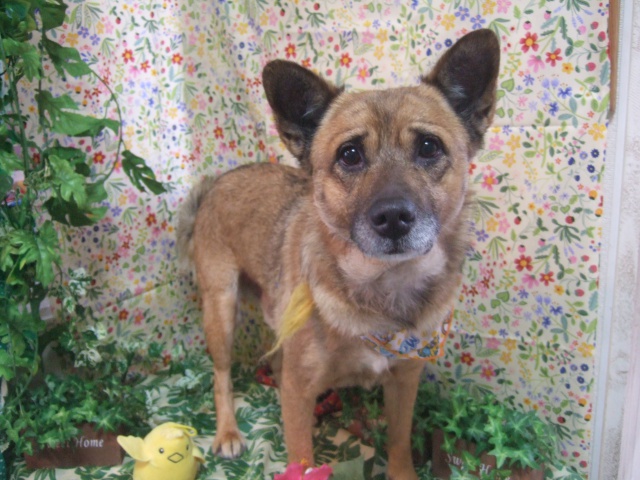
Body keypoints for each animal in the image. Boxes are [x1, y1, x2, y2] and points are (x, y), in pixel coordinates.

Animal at [177, 29, 500, 479]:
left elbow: (399, 444)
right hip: (221, 310)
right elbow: (302, 459)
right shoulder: (299, 389)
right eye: (350, 154)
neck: (382, 289)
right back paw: (227, 432)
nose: (393, 217)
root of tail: (217, 181)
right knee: (221, 376)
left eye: (428, 147)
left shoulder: (404, 381)